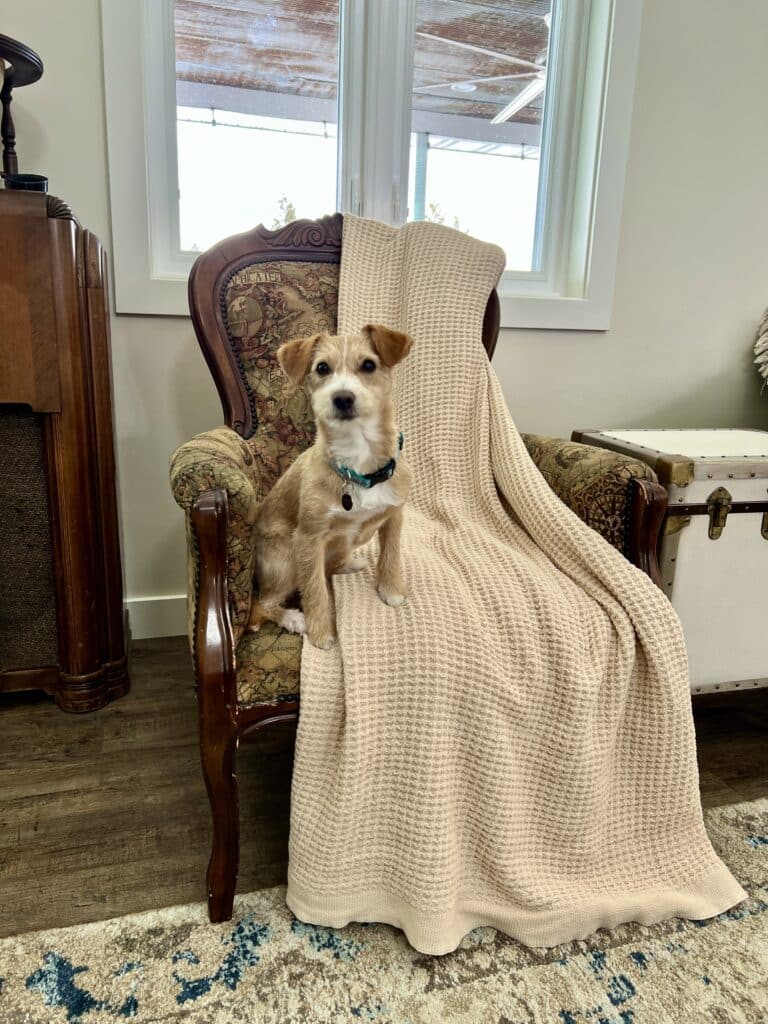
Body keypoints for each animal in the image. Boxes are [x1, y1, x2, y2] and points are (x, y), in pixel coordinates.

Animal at [247, 323, 415, 651]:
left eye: (368, 365)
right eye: (322, 368)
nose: (343, 398)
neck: (357, 461)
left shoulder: (394, 515)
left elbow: (390, 555)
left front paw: (390, 589)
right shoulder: (309, 538)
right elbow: (315, 591)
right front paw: (321, 632)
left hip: (337, 546)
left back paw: (349, 564)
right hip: (285, 561)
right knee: (262, 604)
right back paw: (293, 618)